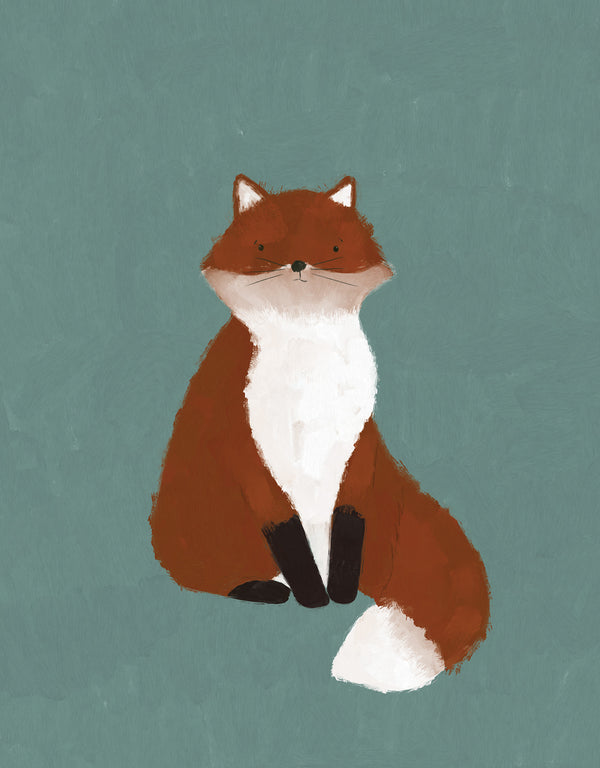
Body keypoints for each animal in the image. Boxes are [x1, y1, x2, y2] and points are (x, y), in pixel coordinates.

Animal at [149, 175, 490, 692]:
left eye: (332, 246)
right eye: (263, 246)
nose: (297, 264)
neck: (307, 359)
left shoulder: (359, 444)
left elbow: (348, 525)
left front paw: (339, 594)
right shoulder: (244, 446)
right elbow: (287, 534)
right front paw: (314, 596)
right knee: (210, 576)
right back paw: (267, 589)